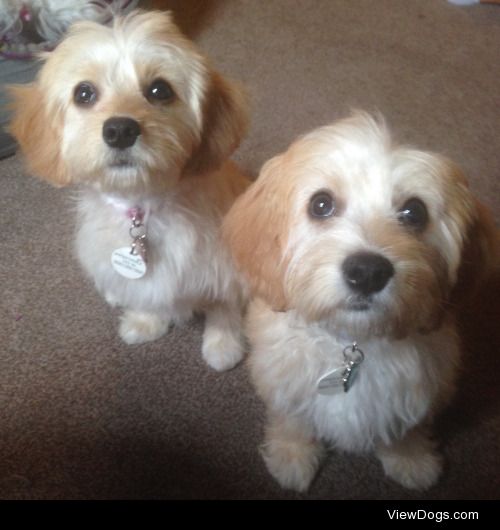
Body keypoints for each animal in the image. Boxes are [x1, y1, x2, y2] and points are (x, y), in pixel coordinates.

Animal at [8, 9, 249, 372]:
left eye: (160, 89)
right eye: (84, 93)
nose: (120, 130)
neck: (142, 206)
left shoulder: (227, 267)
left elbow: (224, 305)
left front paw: (223, 344)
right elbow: (146, 294)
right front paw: (146, 322)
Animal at [225, 112, 498, 490]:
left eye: (415, 212)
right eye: (321, 204)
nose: (367, 272)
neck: (354, 342)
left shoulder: (420, 388)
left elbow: (406, 429)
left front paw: (411, 459)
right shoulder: (284, 382)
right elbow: (293, 419)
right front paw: (292, 455)